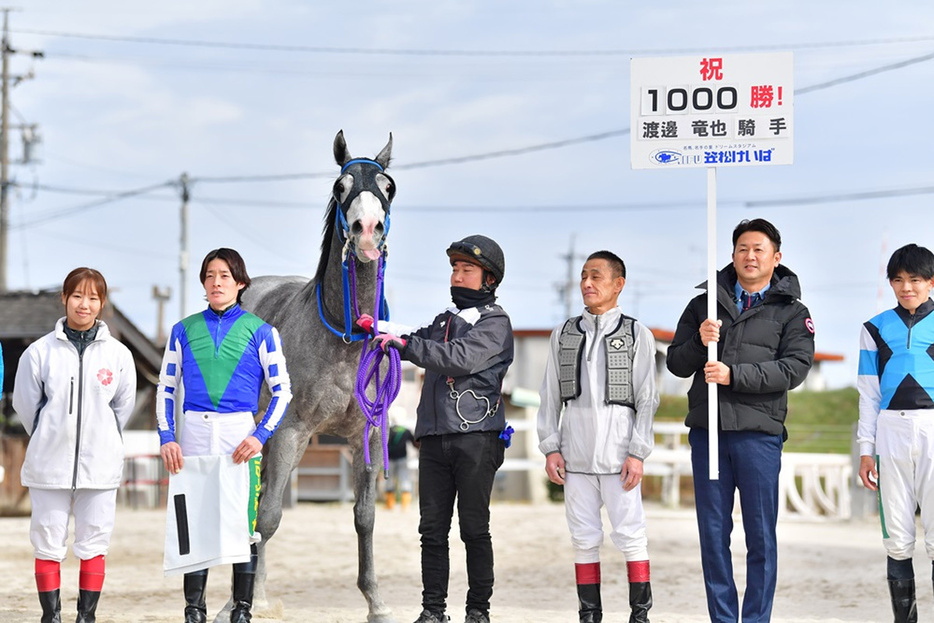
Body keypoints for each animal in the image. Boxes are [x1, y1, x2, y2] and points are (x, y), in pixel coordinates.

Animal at [216, 130, 398, 623]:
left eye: (388, 186)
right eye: (341, 186)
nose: (368, 230)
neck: (346, 338)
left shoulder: (367, 435)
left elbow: (365, 517)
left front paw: (376, 602)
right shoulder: (292, 432)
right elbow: (270, 518)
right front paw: (236, 604)